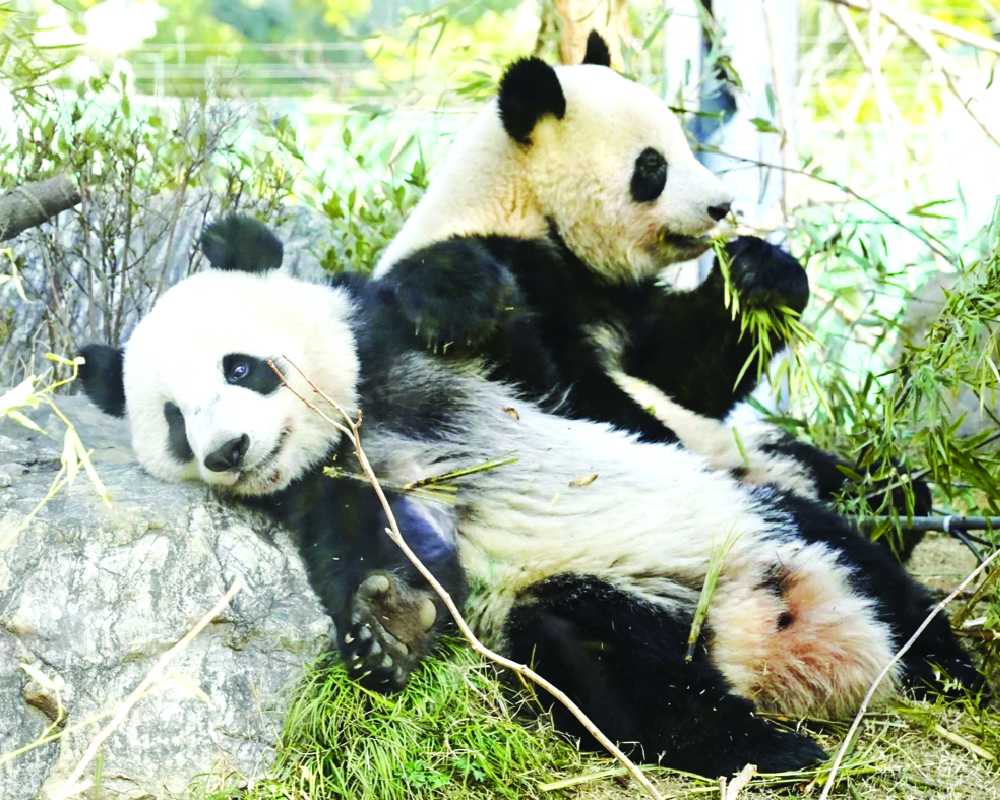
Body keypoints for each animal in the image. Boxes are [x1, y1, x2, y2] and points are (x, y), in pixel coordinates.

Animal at [77, 218, 980, 779]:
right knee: (617, 669)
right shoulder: (333, 487)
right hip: (612, 604)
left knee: (873, 575)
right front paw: (385, 627)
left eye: (240, 367)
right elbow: (380, 547)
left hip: (760, 521)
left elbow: (561, 370)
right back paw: (766, 749)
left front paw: (450, 290)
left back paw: (949, 675)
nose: (227, 453)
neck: (362, 418)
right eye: (173, 420)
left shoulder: (458, 369)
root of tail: (773, 640)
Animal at [372, 33, 930, 521]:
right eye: (652, 166)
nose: (720, 206)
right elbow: (552, 381)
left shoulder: (621, 298)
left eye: (683, 144)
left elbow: (681, 373)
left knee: (839, 472)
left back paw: (892, 493)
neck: (526, 206)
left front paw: (760, 274)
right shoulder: (513, 260)